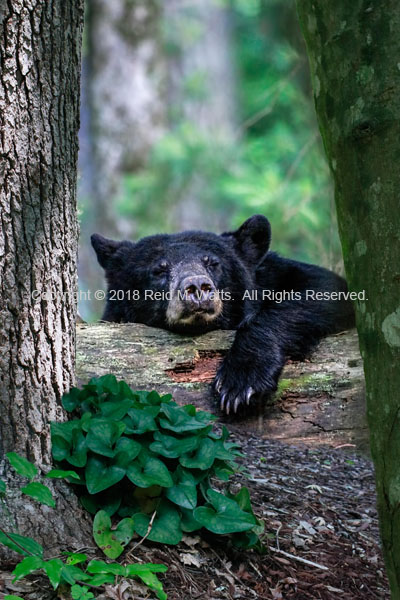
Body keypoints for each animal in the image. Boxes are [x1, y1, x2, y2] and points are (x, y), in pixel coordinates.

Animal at [91, 218, 354, 414]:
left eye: (213, 263)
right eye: (159, 269)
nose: (197, 286)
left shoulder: (275, 272)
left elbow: (324, 287)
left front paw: (242, 381)